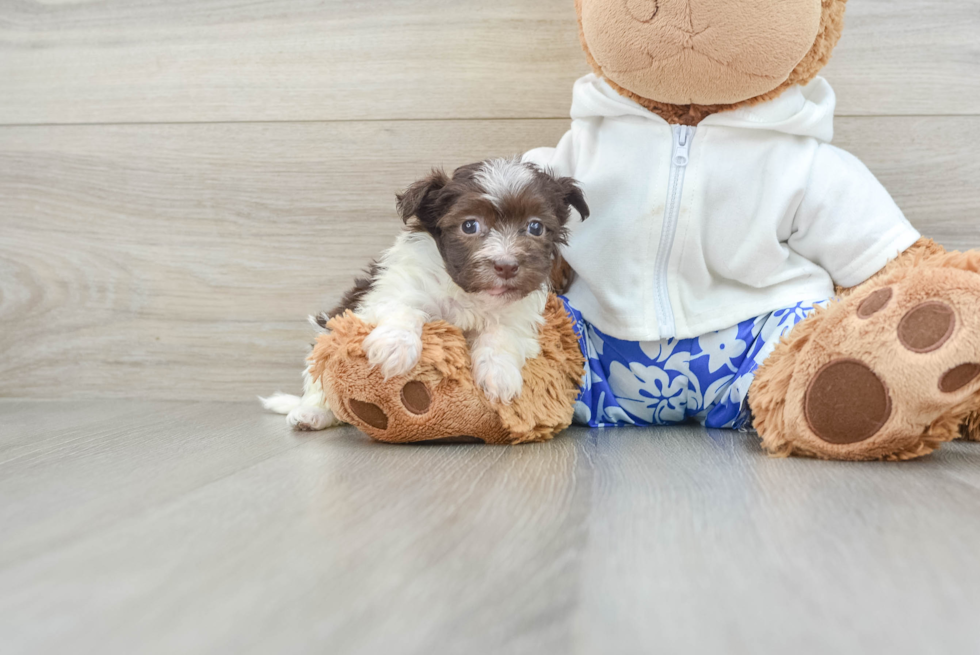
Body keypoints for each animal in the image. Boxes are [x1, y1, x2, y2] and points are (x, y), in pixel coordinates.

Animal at [256, 160, 588, 434]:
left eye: (535, 227)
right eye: (470, 225)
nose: (506, 266)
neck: (467, 292)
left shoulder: (518, 314)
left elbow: (501, 334)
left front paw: (499, 375)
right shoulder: (389, 291)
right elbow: (405, 308)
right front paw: (395, 347)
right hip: (326, 340)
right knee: (319, 387)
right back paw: (310, 413)